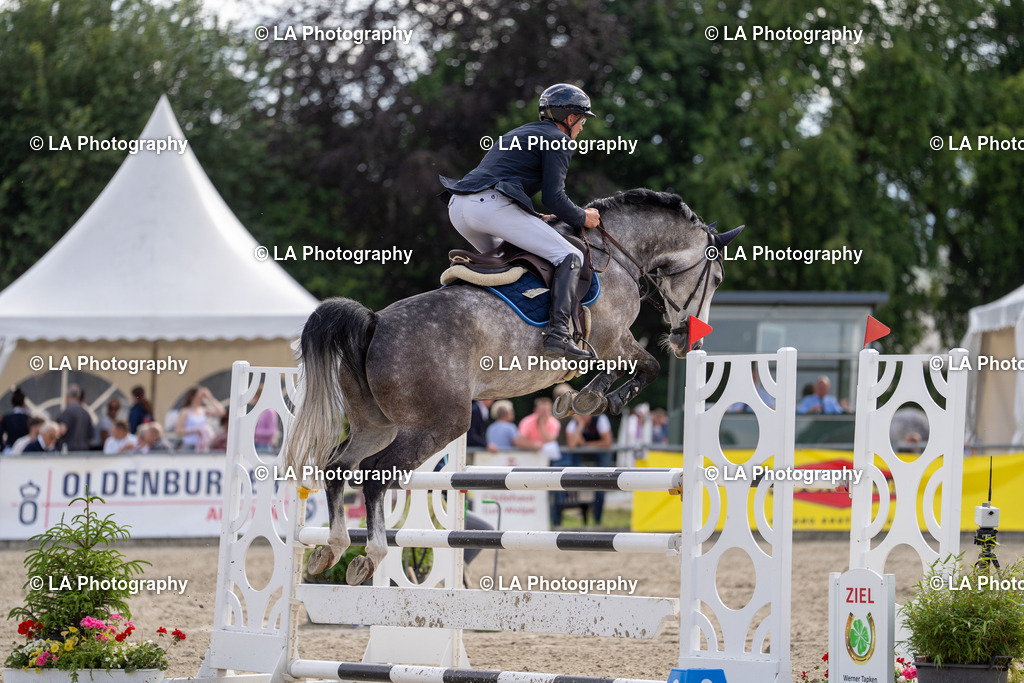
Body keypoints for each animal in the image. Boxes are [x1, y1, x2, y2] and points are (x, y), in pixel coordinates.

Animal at [281, 188, 743, 584]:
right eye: (718, 277)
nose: (689, 342)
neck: (619, 255)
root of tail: (374, 323)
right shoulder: (613, 338)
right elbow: (646, 366)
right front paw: (598, 397)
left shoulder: (610, 343)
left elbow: (628, 368)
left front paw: (582, 399)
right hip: (439, 424)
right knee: (375, 474)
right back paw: (368, 555)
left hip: (376, 425)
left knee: (337, 467)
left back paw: (331, 550)